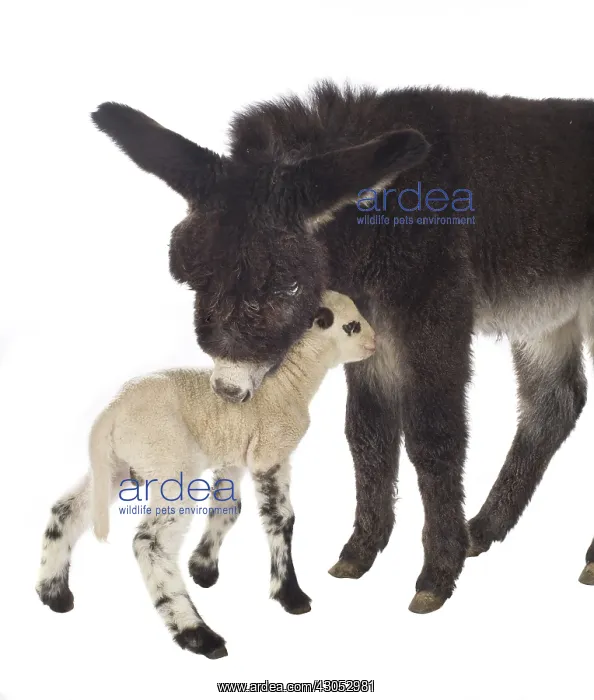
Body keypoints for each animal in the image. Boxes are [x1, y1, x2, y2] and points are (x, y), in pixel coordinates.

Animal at [35, 290, 376, 659]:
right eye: (352, 326)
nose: (375, 343)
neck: (287, 387)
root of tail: (109, 414)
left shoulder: (235, 459)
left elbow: (228, 510)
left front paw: (203, 569)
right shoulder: (271, 455)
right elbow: (281, 520)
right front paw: (291, 596)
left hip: (116, 467)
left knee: (66, 510)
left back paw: (53, 594)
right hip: (171, 468)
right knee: (149, 543)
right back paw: (198, 634)